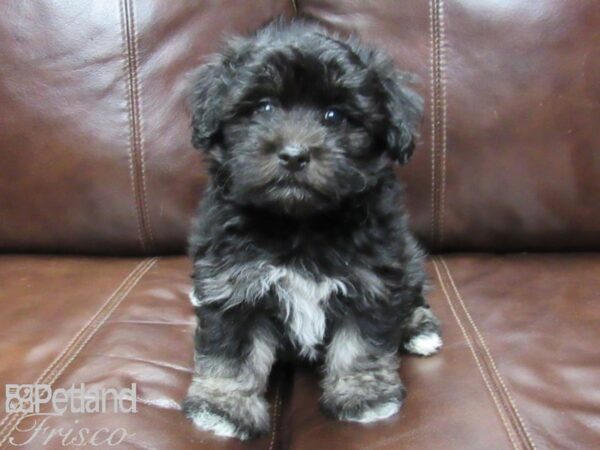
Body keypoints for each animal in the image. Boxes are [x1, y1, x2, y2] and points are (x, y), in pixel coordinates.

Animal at [183, 21, 440, 440]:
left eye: (334, 115)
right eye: (264, 107)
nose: (293, 154)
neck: (299, 224)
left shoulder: (371, 281)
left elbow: (361, 345)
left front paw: (363, 395)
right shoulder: (235, 286)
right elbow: (231, 352)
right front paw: (224, 407)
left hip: (409, 257)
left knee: (412, 293)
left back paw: (419, 328)